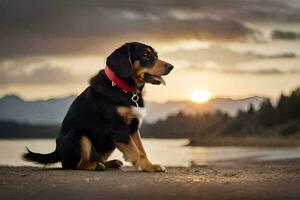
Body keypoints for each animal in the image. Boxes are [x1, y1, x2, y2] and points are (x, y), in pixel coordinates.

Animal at [22, 41, 173, 172]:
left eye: (156, 55)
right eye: (146, 55)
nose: (171, 66)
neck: (124, 88)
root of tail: (57, 151)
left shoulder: (133, 128)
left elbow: (142, 149)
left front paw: (148, 165)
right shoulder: (119, 129)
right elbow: (137, 152)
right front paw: (150, 167)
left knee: (96, 158)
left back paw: (110, 163)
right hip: (77, 135)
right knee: (75, 165)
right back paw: (94, 166)